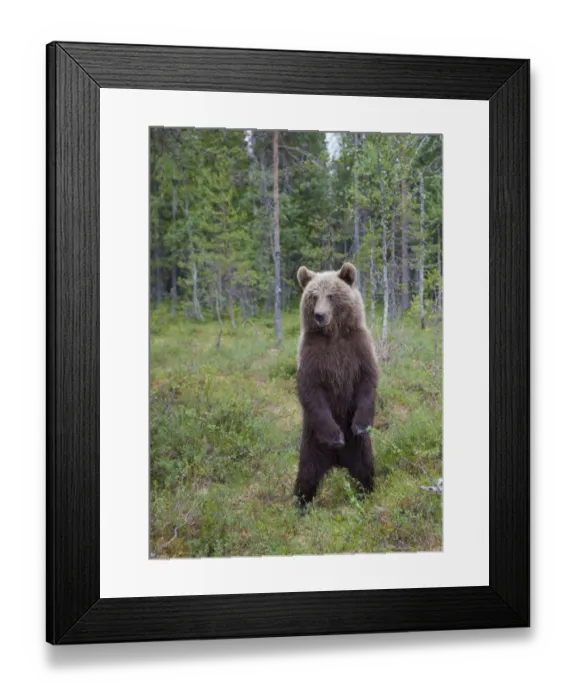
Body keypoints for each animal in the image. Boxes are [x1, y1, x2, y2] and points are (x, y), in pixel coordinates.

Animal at [293, 262, 380, 508]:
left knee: (364, 470)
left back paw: (366, 495)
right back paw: (299, 505)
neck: (334, 334)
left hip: (359, 448)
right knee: (307, 476)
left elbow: (368, 381)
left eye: (331, 295)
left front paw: (360, 425)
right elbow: (311, 390)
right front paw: (335, 436)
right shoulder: (312, 354)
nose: (319, 315)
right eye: (313, 296)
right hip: (312, 443)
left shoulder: (358, 347)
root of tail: (338, 461)